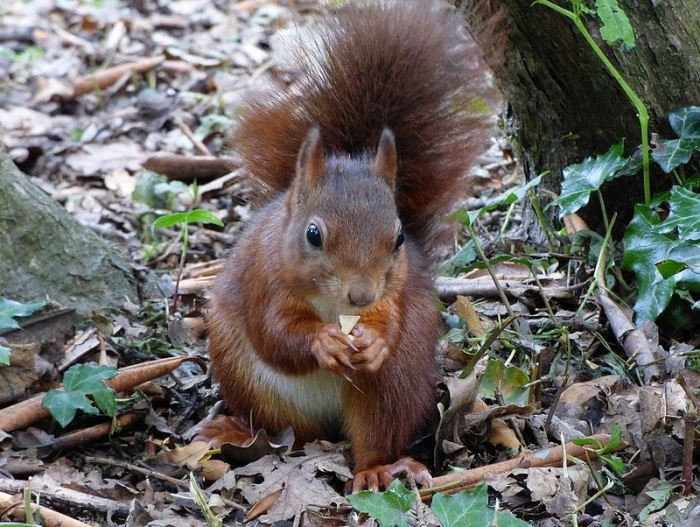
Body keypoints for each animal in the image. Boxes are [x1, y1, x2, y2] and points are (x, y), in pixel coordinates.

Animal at [205, 0, 497, 492]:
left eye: (399, 238)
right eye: (313, 234)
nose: (360, 295)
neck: (332, 305)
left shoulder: (394, 292)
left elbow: (390, 319)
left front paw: (374, 340)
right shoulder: (263, 281)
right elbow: (274, 334)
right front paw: (323, 342)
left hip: (396, 381)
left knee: (375, 432)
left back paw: (377, 468)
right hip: (244, 375)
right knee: (292, 433)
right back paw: (238, 432)